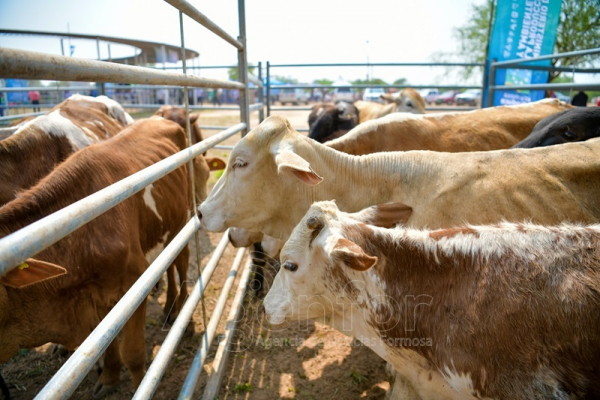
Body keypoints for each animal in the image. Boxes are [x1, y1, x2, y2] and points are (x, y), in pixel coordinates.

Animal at [0, 115, 225, 396]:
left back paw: (180, 307)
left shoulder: (134, 285)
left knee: (180, 261)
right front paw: (108, 377)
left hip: (181, 220)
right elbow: (104, 346)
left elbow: (133, 353)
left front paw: (140, 386)